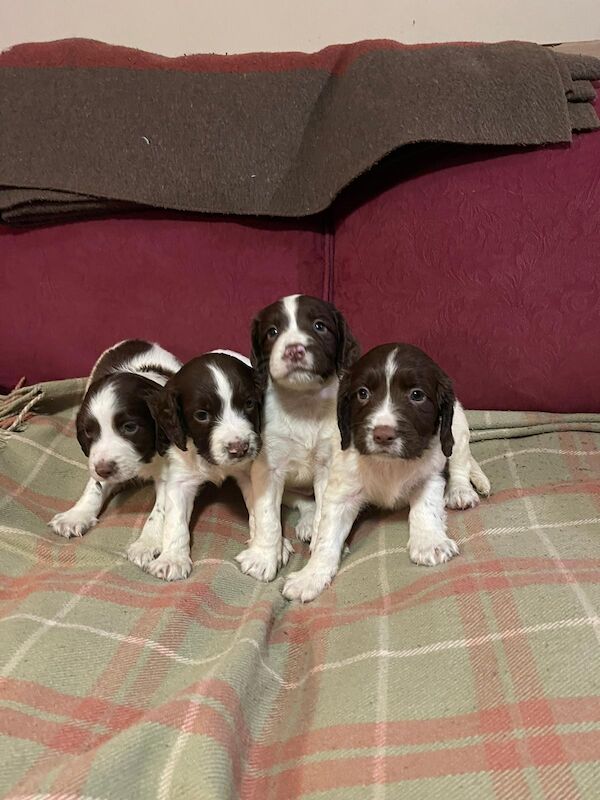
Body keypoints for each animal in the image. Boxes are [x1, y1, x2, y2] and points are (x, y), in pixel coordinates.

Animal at [49, 338, 182, 564]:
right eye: (89, 432)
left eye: (130, 427)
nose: (104, 470)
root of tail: (137, 340)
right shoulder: (99, 460)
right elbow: (94, 487)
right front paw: (75, 516)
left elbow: (161, 509)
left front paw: (146, 543)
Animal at [146, 350, 262, 580]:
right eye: (201, 415)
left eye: (249, 403)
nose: (239, 449)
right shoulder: (180, 476)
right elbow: (175, 521)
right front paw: (172, 559)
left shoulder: (249, 470)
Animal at [233, 294, 360, 580]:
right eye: (272, 332)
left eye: (319, 326)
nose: (294, 350)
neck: (302, 402)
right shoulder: (268, 469)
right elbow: (268, 516)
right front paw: (264, 557)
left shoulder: (328, 465)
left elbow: (325, 508)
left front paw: (321, 540)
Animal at [282, 342, 488, 600]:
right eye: (362, 393)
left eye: (417, 395)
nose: (382, 435)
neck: (389, 464)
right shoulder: (341, 490)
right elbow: (327, 536)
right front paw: (311, 575)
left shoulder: (431, 473)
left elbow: (425, 508)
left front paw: (429, 542)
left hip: (456, 426)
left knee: (461, 459)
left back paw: (460, 491)